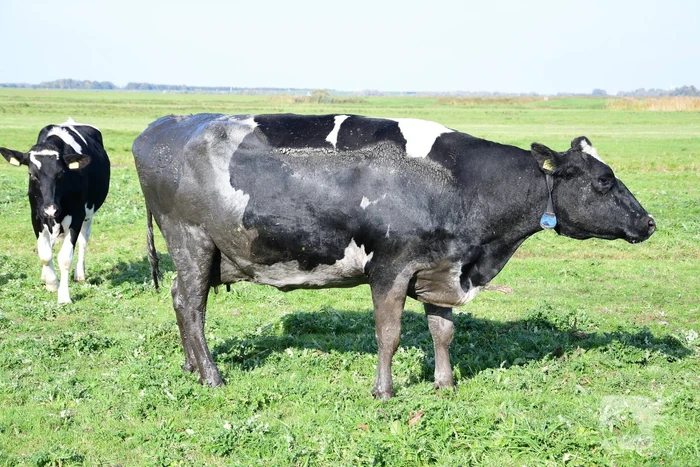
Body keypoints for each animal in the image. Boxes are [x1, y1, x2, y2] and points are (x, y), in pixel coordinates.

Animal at [1, 119, 110, 304]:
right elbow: (45, 253)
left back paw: (80, 274)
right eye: (31, 174)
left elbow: (65, 257)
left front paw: (64, 296)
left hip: (89, 214)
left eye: (61, 173)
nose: (50, 209)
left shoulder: (77, 216)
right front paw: (52, 283)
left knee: (83, 241)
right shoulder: (36, 216)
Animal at [132, 113, 655, 399]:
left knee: (180, 300)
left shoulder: (442, 267)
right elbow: (390, 335)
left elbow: (443, 332)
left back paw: (190, 367)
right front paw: (383, 391)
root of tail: (163, 127)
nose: (649, 222)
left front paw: (445, 384)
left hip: (203, 253)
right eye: (603, 181)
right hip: (192, 241)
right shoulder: (390, 268)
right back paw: (211, 376)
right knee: (191, 306)